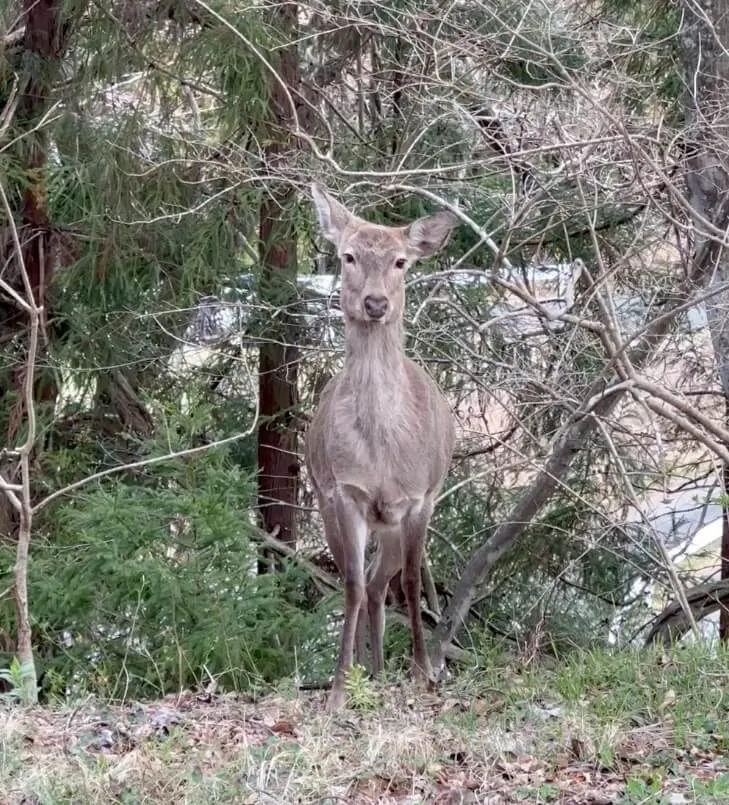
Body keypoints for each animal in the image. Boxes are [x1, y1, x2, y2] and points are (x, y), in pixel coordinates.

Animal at [306, 183, 458, 711]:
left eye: (400, 261)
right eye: (347, 256)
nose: (375, 303)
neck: (382, 451)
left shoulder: (421, 497)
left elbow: (411, 581)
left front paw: (423, 672)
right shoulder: (343, 493)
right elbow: (349, 583)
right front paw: (338, 687)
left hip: (396, 520)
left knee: (382, 581)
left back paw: (386, 668)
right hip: (334, 502)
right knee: (367, 583)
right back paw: (368, 670)